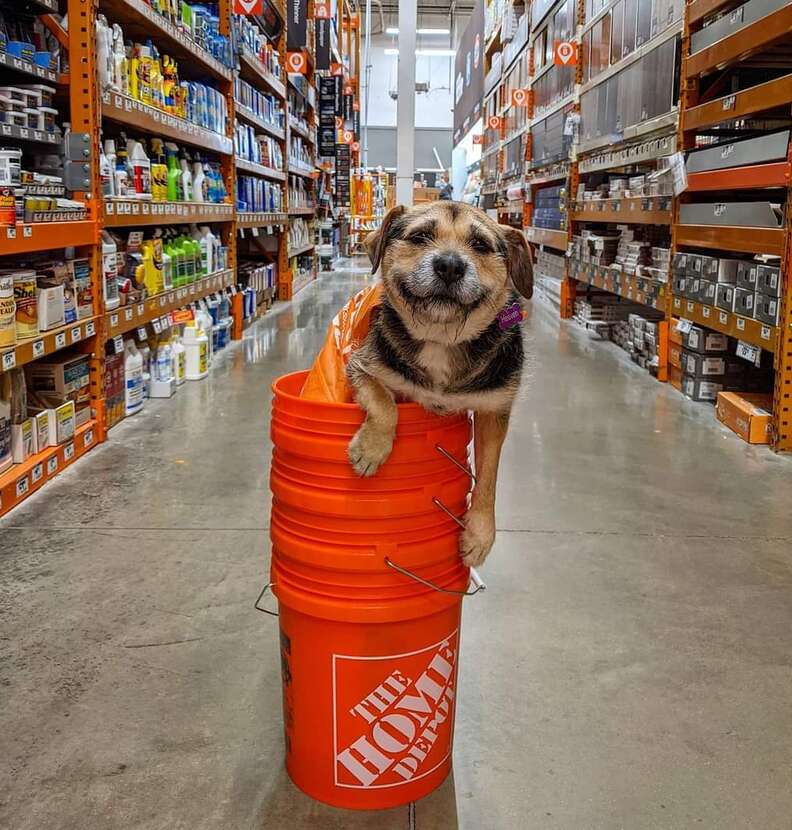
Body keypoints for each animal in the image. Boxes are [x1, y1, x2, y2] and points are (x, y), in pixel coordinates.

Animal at [344, 199, 532, 568]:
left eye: (480, 245)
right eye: (420, 237)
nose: (449, 265)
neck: (441, 338)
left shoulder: (494, 412)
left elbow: (488, 475)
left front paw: (480, 534)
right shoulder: (362, 365)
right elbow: (384, 403)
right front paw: (371, 450)